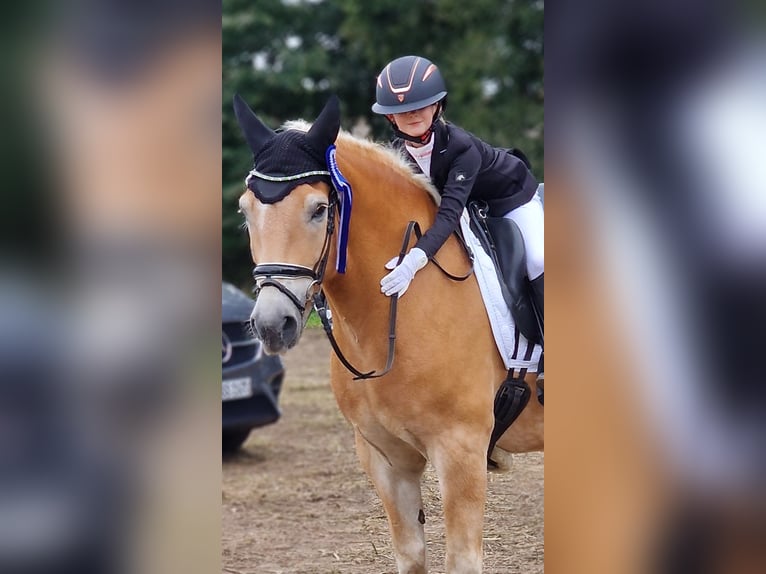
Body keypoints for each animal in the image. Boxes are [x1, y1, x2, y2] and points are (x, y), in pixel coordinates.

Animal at [234, 95, 544, 574]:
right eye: (246, 210)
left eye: (319, 209)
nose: (272, 325)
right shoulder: (384, 458)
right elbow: (411, 555)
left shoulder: (461, 452)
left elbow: (462, 559)